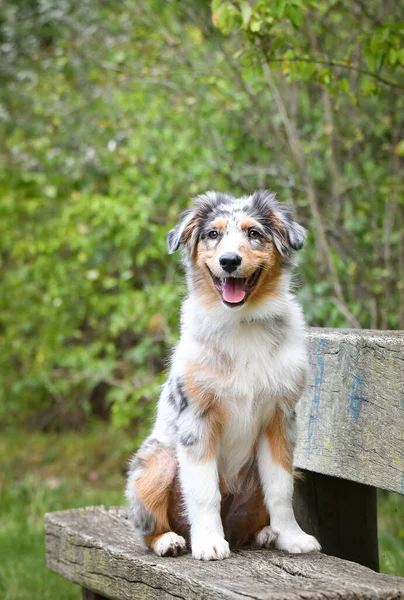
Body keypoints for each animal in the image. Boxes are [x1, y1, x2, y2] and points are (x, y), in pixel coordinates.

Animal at [124, 190, 320, 560]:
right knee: (148, 526)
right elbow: (204, 491)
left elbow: (281, 489)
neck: (242, 322)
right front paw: (210, 543)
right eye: (212, 234)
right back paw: (169, 540)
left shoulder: (280, 419)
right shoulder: (197, 420)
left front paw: (293, 537)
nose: (229, 261)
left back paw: (266, 534)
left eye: (254, 233)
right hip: (156, 461)